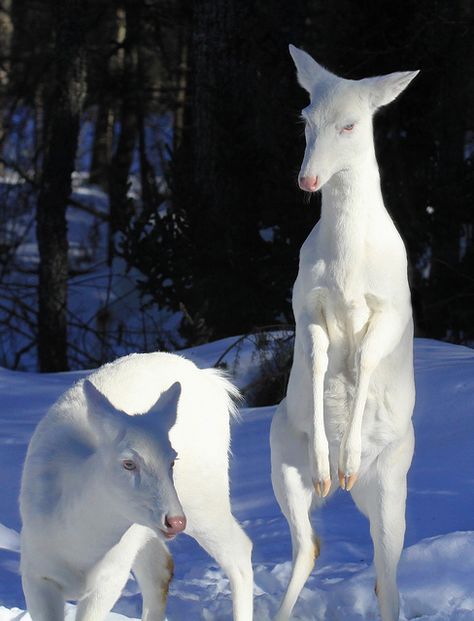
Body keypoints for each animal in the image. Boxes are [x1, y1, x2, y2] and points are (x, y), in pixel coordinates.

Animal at [20, 352, 254, 616]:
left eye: (172, 460)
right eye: (128, 463)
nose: (175, 521)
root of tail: (215, 383)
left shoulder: (112, 576)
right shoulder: (34, 571)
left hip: (204, 496)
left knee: (239, 551)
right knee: (161, 569)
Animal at [270, 44, 418, 620]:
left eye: (351, 124)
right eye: (306, 118)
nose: (307, 180)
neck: (346, 268)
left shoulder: (392, 308)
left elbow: (366, 360)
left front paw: (347, 456)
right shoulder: (303, 302)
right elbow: (315, 357)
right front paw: (326, 461)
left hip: (394, 479)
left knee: (387, 571)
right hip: (278, 459)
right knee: (309, 544)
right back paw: (327, 479)